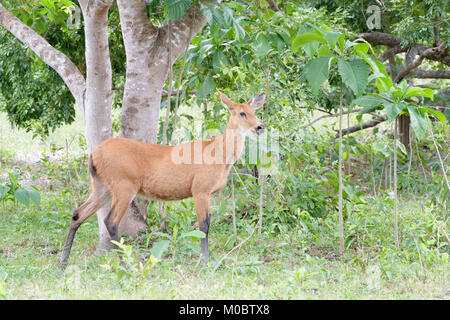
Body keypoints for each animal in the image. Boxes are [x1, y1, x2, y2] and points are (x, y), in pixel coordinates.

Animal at [58, 90, 266, 264]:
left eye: (254, 111)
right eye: (242, 113)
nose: (260, 127)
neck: (218, 155)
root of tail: (94, 154)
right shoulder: (200, 188)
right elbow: (204, 225)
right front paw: (205, 260)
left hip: (102, 185)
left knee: (77, 214)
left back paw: (63, 261)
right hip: (123, 184)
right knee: (110, 221)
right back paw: (125, 264)